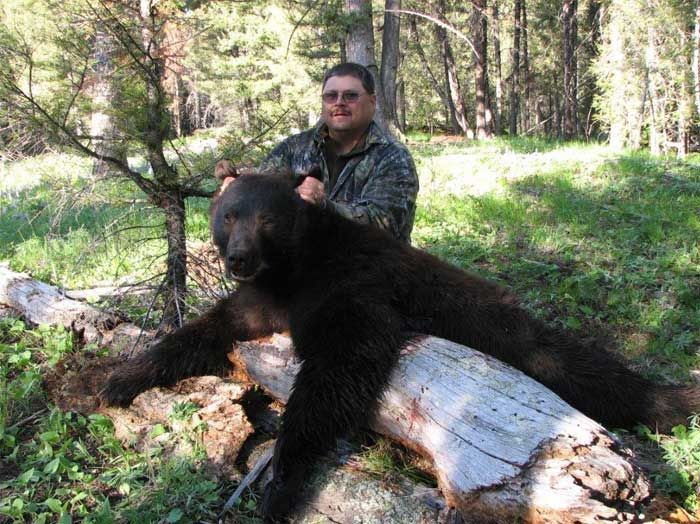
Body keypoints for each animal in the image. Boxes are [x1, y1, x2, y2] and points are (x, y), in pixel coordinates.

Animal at [101, 173, 700, 522]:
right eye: (228, 216)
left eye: (266, 218)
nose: (239, 257)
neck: (289, 273)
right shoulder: (255, 305)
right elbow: (197, 334)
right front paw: (114, 380)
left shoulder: (351, 290)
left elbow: (340, 369)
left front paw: (280, 485)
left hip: (510, 328)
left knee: (576, 363)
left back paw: (673, 401)